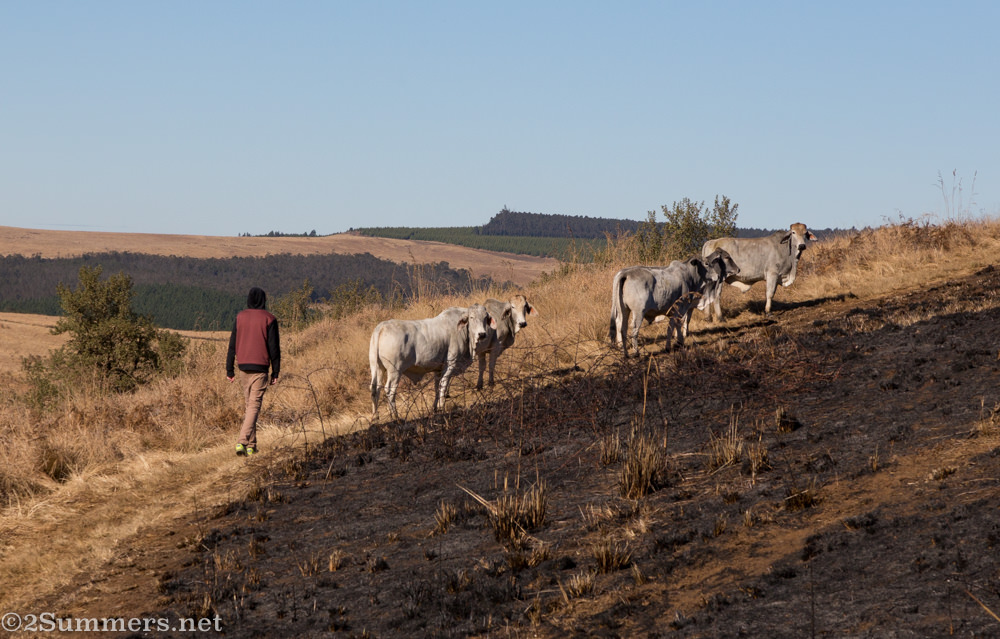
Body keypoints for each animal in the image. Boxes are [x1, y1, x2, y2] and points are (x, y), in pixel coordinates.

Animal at [609, 249, 739, 357]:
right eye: (706, 264)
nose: (716, 275)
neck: (690, 276)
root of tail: (625, 274)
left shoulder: (673, 310)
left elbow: (671, 327)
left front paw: (671, 345)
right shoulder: (681, 307)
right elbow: (678, 324)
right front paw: (678, 342)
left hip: (624, 310)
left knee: (622, 327)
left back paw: (625, 353)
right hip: (638, 312)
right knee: (634, 329)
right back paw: (636, 352)